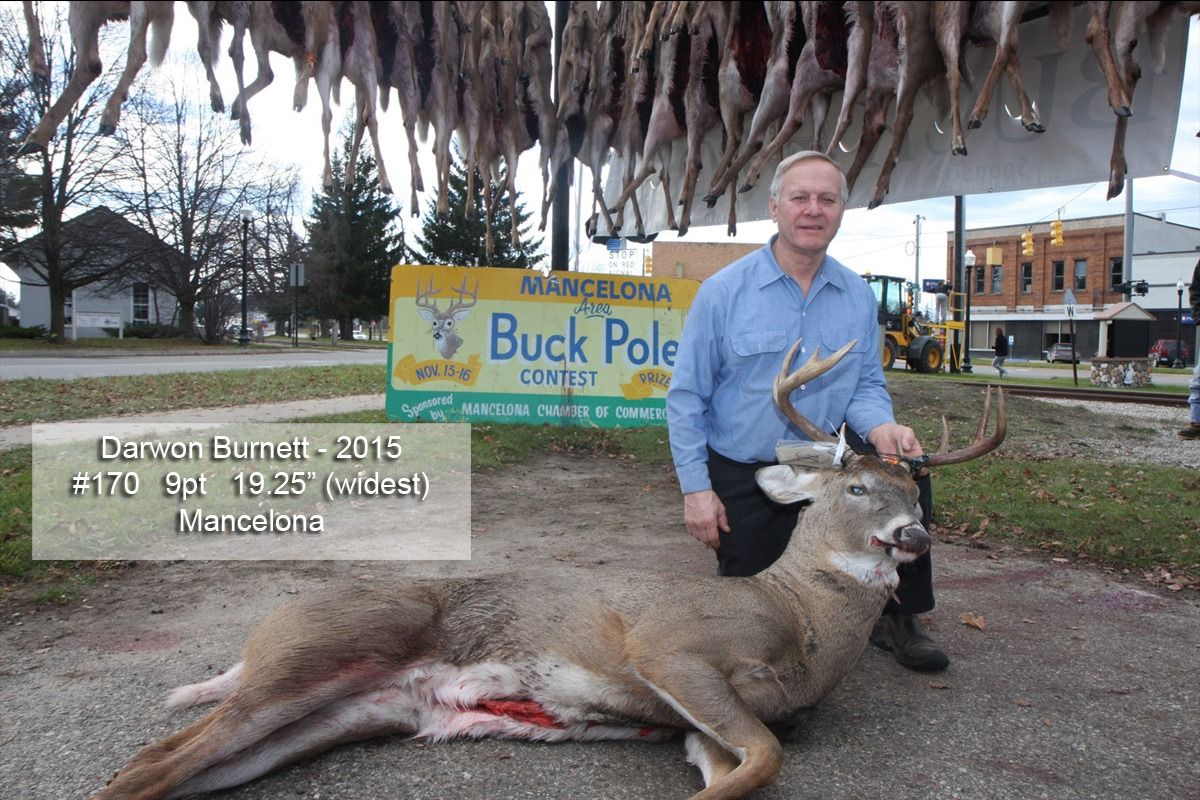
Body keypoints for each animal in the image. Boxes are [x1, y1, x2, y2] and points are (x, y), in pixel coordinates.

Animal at [86, 338, 1005, 800]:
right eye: (856, 486)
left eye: (914, 493)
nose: (913, 538)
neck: (802, 629)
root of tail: (257, 635)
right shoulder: (670, 647)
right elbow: (766, 759)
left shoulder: (700, 721)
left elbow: (740, 771)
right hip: (319, 649)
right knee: (148, 763)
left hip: (346, 712)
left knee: (163, 771)